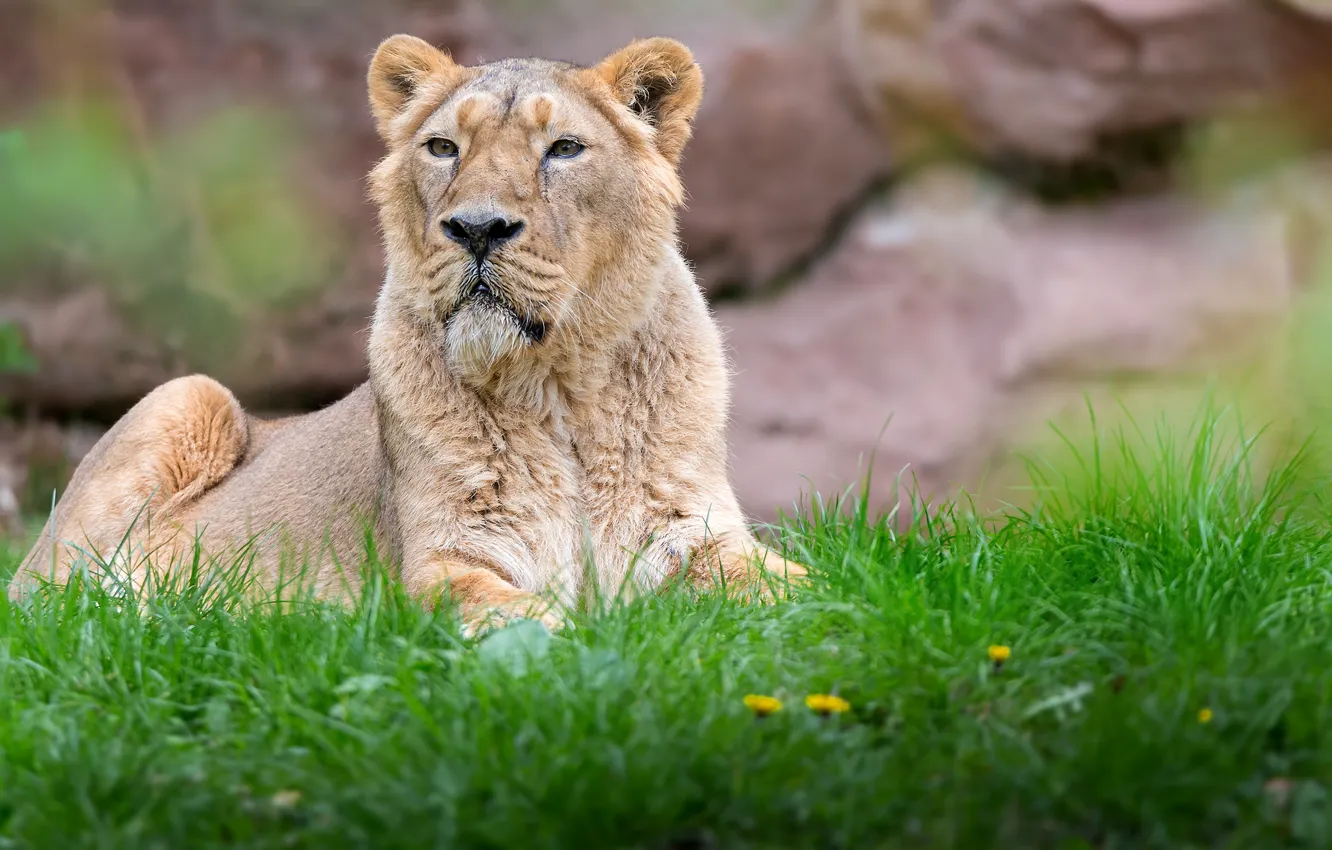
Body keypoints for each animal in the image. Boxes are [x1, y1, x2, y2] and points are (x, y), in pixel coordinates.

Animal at [8, 34, 807, 629]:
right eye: (444, 148)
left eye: (564, 149)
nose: (477, 227)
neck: (560, 389)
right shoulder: (440, 562)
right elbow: (517, 613)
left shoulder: (696, 531)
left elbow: (802, 586)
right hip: (185, 398)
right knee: (50, 611)